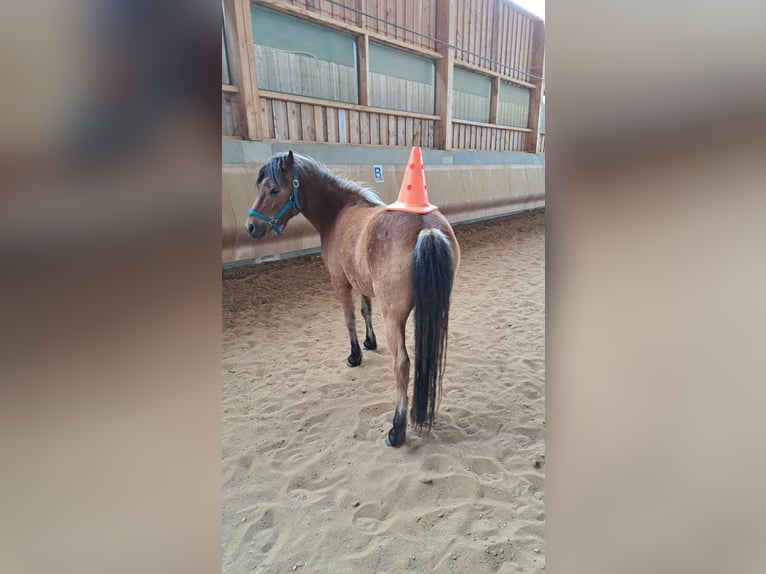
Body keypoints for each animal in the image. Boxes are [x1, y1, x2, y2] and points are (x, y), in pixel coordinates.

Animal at [249, 151, 460, 448]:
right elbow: (364, 311)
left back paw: (397, 430)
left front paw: (355, 355)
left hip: (394, 316)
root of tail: (427, 230)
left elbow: (349, 319)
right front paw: (370, 342)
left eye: (274, 189)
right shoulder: (361, 283)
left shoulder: (341, 283)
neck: (339, 212)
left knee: (402, 364)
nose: (251, 226)